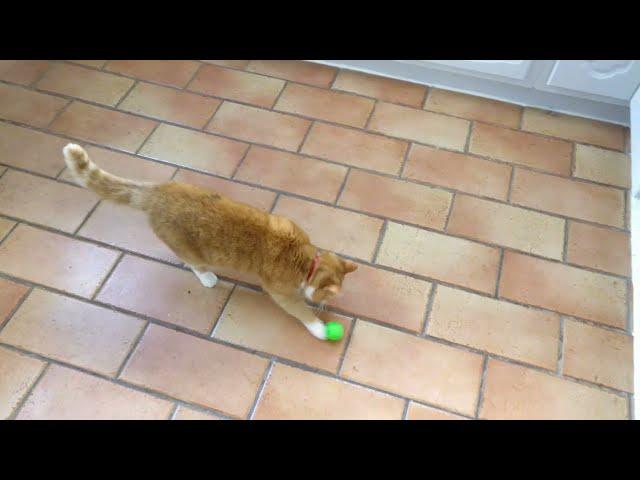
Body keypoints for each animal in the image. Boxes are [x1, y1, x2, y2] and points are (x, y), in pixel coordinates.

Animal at [62, 143, 358, 342]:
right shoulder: (282, 294)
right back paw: (207, 277)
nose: (325, 305)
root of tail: (156, 192)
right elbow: (300, 311)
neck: (305, 260)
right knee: (193, 263)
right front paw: (319, 327)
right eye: (325, 298)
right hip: (188, 249)